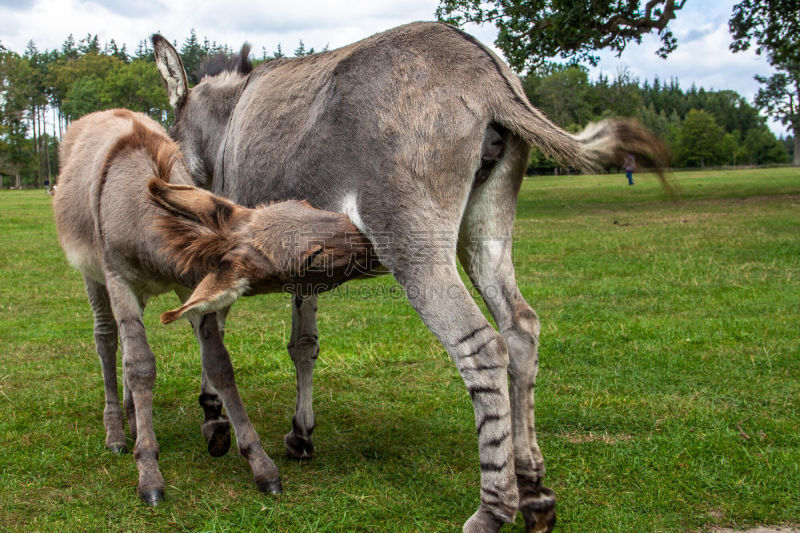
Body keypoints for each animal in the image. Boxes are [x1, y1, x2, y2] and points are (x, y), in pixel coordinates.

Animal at [53, 108, 368, 502]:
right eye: (312, 258)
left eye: (307, 205)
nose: (369, 242)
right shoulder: (117, 278)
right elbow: (140, 365)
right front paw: (149, 469)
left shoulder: (191, 284)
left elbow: (218, 363)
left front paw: (258, 462)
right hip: (94, 278)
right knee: (108, 339)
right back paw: (116, 433)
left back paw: (132, 417)